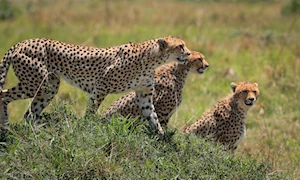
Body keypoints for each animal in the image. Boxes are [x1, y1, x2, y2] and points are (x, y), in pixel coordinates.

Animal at [0, 36, 191, 134]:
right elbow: (91, 110)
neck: (151, 58)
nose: (189, 53)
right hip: (36, 83)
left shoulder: (144, 95)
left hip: (49, 86)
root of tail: (22, 42)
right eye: (181, 46)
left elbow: (153, 117)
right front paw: (86, 127)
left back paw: (36, 132)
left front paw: (161, 139)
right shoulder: (101, 86)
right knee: (3, 95)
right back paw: (5, 127)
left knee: (29, 113)